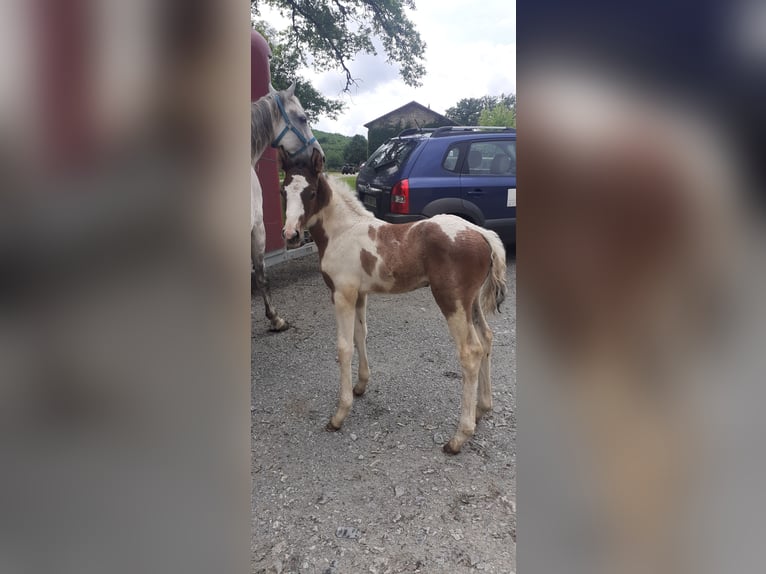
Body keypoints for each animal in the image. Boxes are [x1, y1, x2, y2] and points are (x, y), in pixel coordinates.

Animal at [280, 152, 508, 454]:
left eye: (312, 192)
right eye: (283, 191)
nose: (290, 235)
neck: (342, 231)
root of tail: (482, 233)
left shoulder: (342, 294)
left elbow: (344, 348)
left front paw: (339, 415)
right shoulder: (359, 294)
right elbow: (360, 336)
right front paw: (360, 386)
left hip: (452, 300)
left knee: (471, 351)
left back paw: (459, 436)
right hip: (471, 303)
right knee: (487, 338)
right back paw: (482, 408)